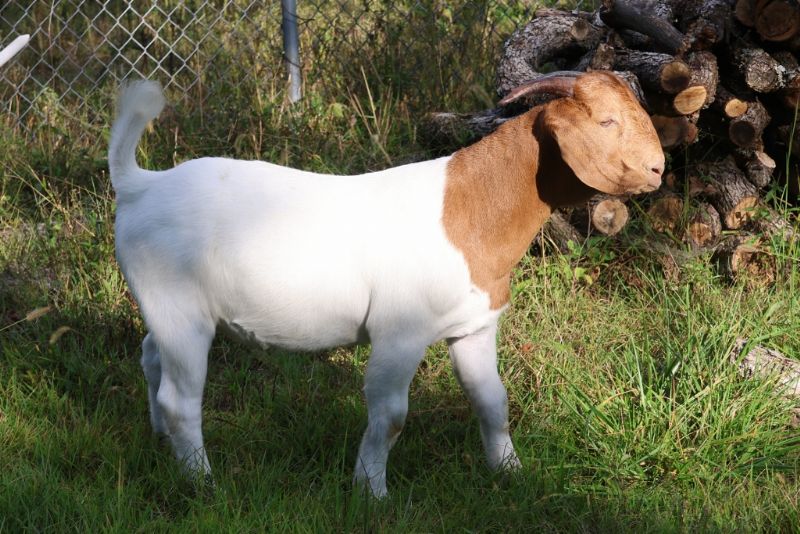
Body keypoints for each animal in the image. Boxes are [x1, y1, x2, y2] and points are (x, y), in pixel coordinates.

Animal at [109, 70, 664, 498]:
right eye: (607, 121)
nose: (658, 168)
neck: (465, 209)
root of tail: (141, 185)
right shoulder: (400, 331)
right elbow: (391, 415)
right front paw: (373, 493)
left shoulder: (474, 327)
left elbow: (493, 400)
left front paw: (511, 473)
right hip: (179, 307)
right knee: (180, 400)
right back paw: (202, 483)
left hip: (168, 310)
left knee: (151, 357)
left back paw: (160, 443)